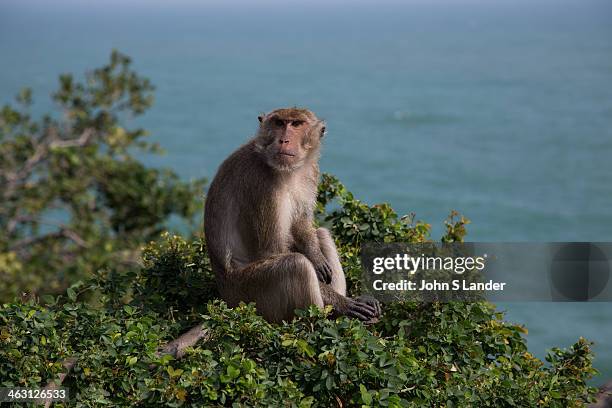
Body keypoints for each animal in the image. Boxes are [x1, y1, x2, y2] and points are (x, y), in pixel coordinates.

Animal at [203, 109, 380, 326]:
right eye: (279, 123)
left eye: (296, 124)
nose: (284, 140)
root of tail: (224, 293)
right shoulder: (262, 184)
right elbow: (272, 250)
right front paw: (345, 304)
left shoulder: (311, 170)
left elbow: (301, 222)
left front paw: (315, 255)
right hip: (250, 295)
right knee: (296, 264)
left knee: (321, 234)